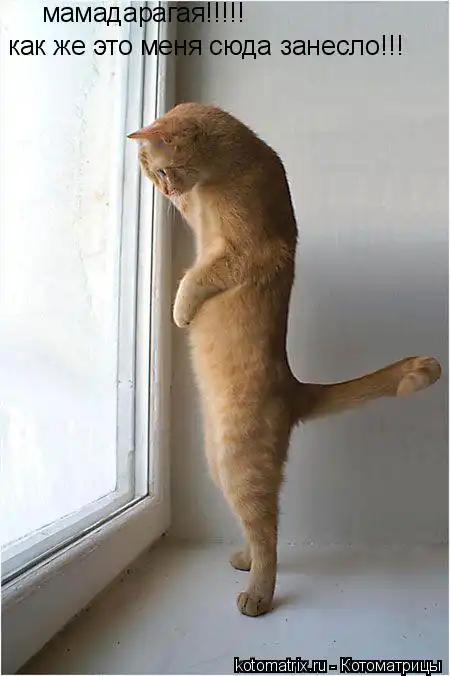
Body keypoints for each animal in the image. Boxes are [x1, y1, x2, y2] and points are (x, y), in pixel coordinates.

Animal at [129, 102, 442, 617]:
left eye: (161, 170)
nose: (166, 189)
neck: (233, 165)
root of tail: (294, 387)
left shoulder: (247, 250)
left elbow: (196, 278)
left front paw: (179, 311)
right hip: (217, 462)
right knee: (256, 530)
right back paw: (243, 559)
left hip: (241, 464)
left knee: (269, 533)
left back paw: (258, 593)